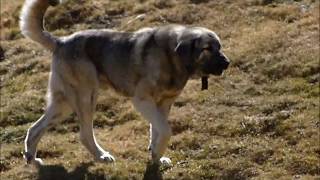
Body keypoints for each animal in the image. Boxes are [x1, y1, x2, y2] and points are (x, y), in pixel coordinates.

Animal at [20, 0, 230, 167]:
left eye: (219, 46)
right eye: (207, 48)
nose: (227, 63)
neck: (172, 57)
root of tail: (61, 41)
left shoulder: (163, 105)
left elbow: (156, 130)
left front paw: (156, 156)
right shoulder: (142, 101)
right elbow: (165, 130)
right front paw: (157, 152)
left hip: (63, 105)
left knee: (34, 129)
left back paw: (32, 159)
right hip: (86, 98)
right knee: (85, 134)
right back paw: (102, 156)